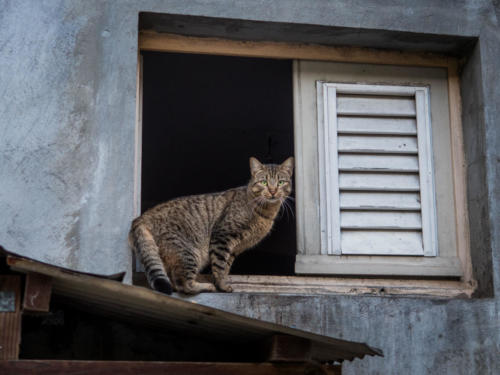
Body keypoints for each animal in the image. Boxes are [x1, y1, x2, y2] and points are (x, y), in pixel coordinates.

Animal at [129, 157, 294, 296]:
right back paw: (205, 286)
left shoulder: (233, 249)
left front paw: (221, 283)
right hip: (189, 252)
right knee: (183, 283)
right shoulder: (223, 237)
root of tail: (142, 217)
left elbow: (225, 267)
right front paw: (221, 286)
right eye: (264, 182)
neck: (266, 212)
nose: (273, 191)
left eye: (280, 182)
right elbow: (220, 266)